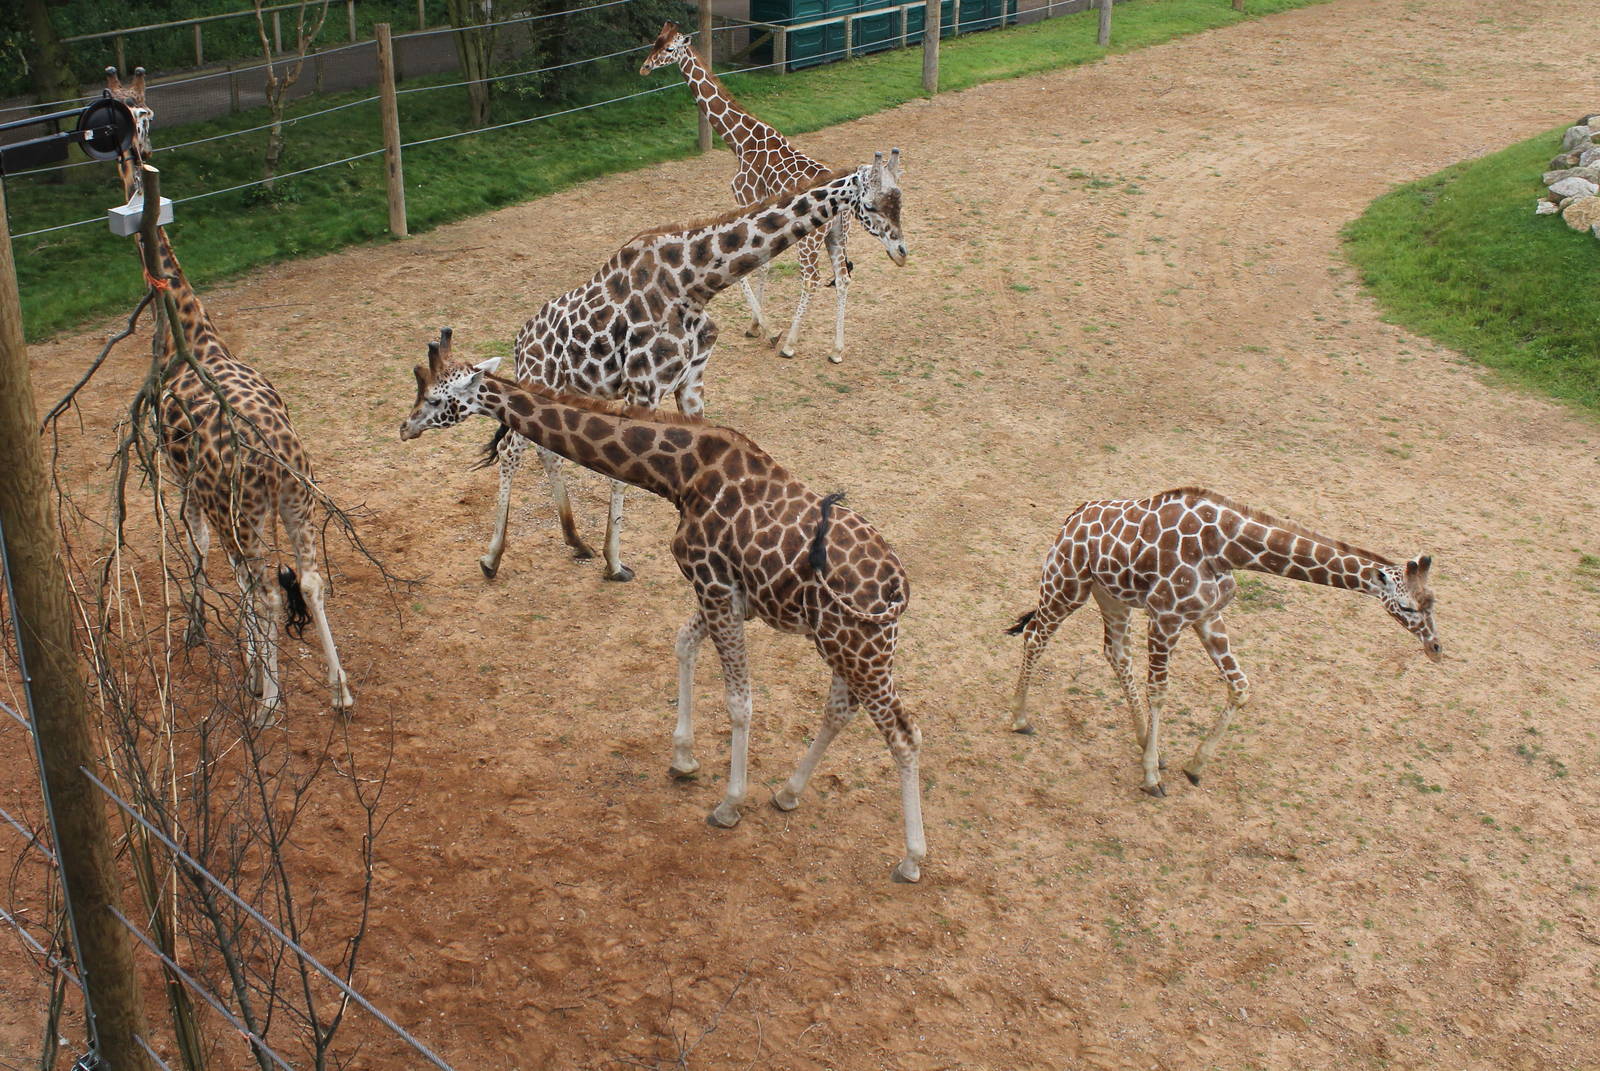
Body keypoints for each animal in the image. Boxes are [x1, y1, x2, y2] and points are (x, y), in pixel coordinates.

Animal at [104, 69, 352, 723]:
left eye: (140, 113)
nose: (134, 153)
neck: (196, 338)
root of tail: (275, 462)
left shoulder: (185, 483)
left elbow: (196, 549)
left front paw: (214, 645)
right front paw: (246, 660)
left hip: (245, 514)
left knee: (266, 590)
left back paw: (268, 706)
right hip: (297, 503)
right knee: (308, 580)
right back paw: (340, 690)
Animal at [402, 331, 927, 882]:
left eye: (435, 399)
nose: (404, 428)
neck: (680, 474)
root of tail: (898, 589)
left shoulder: (714, 584)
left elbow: (739, 701)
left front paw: (729, 804)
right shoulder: (730, 595)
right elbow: (682, 644)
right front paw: (684, 760)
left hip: (860, 647)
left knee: (904, 733)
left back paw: (911, 858)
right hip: (842, 643)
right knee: (840, 710)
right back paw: (788, 792)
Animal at [476, 156, 906, 582]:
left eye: (900, 201)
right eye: (870, 206)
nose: (901, 251)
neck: (693, 285)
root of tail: (519, 343)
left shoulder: (691, 381)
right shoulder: (645, 387)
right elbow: (621, 472)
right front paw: (615, 564)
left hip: (565, 388)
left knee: (545, 449)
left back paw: (575, 541)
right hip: (539, 377)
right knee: (511, 450)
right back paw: (492, 557)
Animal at [640, 21, 898, 363]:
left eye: (669, 49)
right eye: (654, 42)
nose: (644, 67)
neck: (741, 141)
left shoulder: (747, 200)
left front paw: (768, 330)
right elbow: (762, 263)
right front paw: (755, 327)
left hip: (811, 239)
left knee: (812, 280)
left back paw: (789, 344)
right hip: (837, 235)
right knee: (843, 277)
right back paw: (836, 350)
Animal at [1006, 487, 1441, 796]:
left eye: (1432, 601)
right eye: (1407, 606)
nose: (1436, 649)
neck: (1228, 547)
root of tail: (1072, 517)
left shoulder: (1207, 616)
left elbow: (1241, 687)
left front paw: (1193, 766)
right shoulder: (1166, 618)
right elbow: (1160, 692)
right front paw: (1151, 779)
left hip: (1111, 596)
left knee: (1115, 654)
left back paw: (1148, 744)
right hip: (1066, 584)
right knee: (1035, 635)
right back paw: (1021, 719)